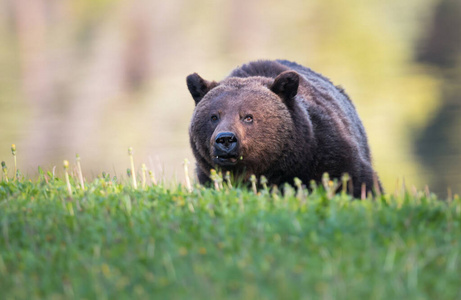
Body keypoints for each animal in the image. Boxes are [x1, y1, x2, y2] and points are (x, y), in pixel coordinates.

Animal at [185, 59, 380, 198]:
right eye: (214, 116)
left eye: (248, 117)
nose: (225, 139)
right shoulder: (206, 177)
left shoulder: (328, 152)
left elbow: (357, 182)